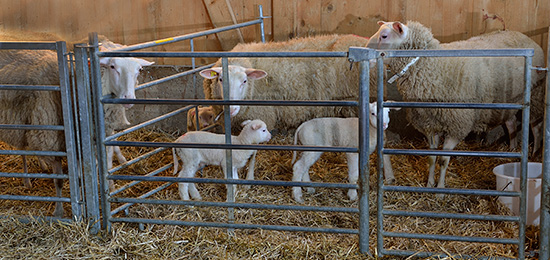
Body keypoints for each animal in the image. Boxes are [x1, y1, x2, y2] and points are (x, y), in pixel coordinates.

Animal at [0, 31, 153, 217]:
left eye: (138, 70)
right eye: (112, 66)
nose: (129, 99)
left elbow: (102, 168)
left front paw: (109, 193)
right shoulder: (54, 138)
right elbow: (61, 181)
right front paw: (60, 211)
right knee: (22, 150)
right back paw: (27, 180)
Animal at [366, 21, 548, 190]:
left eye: (384, 36)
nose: (365, 51)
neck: (434, 69)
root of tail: (525, 37)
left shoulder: (457, 125)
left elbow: (443, 160)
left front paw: (440, 188)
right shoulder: (430, 124)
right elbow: (431, 158)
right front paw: (429, 184)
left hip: (535, 94)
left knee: (536, 127)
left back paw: (534, 154)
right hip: (507, 103)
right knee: (511, 124)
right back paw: (512, 149)